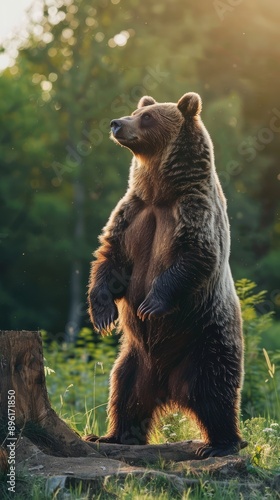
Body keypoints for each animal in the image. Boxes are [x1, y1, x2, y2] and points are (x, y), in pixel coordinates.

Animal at [88, 93, 245, 458]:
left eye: (147, 117)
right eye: (137, 111)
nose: (116, 123)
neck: (160, 193)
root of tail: (168, 386)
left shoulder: (192, 211)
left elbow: (194, 257)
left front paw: (150, 305)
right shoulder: (132, 213)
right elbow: (109, 258)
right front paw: (103, 314)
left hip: (206, 339)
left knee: (216, 391)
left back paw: (221, 444)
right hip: (135, 359)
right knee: (123, 391)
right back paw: (112, 435)